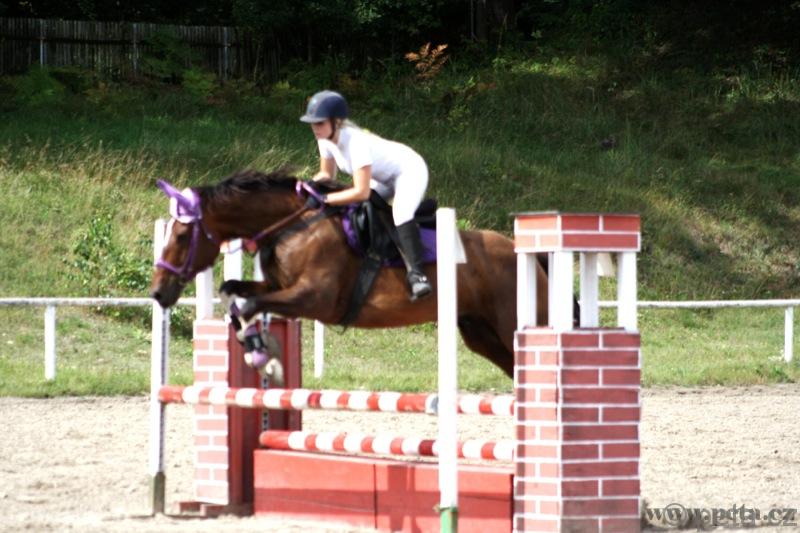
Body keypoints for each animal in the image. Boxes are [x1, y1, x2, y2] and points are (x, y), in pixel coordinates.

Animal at [149, 169, 549, 377]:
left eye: (182, 236)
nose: (158, 292)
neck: (293, 226)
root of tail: (524, 252)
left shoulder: (314, 299)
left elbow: (246, 304)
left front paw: (261, 354)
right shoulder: (277, 286)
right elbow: (233, 292)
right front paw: (256, 348)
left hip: (511, 325)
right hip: (481, 334)